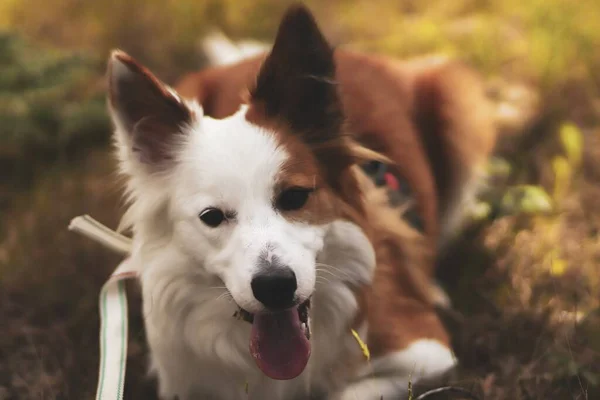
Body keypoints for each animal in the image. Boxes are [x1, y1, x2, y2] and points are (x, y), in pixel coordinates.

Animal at [106, 3, 496, 400]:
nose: (275, 286)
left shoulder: (426, 353)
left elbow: (347, 392)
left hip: (455, 100)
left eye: (294, 196)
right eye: (212, 216)